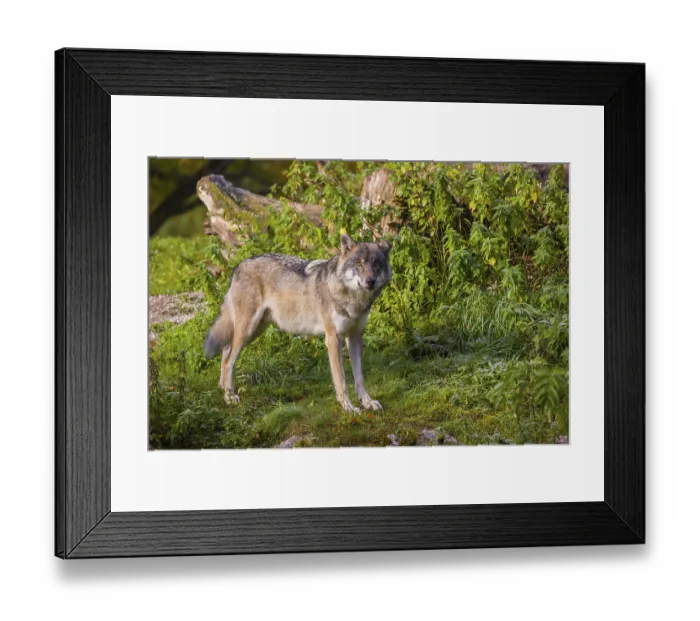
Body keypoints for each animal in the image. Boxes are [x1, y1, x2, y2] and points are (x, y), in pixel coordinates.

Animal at [204, 234, 392, 414]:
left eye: (376, 264)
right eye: (359, 263)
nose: (370, 281)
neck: (353, 298)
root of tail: (239, 265)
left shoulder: (355, 337)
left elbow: (359, 378)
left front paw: (367, 402)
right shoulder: (333, 339)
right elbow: (342, 381)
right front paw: (348, 408)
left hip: (255, 331)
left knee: (226, 349)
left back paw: (223, 387)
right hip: (248, 330)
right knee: (229, 360)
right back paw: (229, 396)